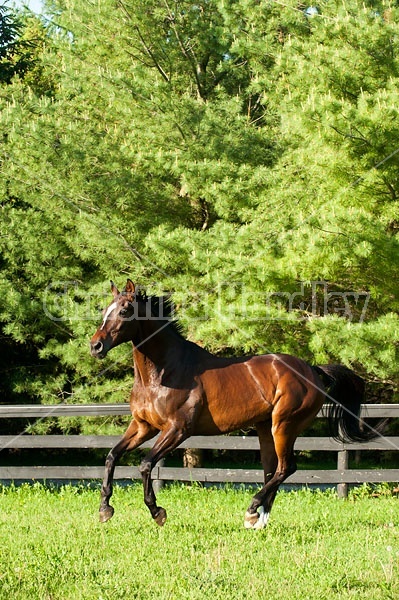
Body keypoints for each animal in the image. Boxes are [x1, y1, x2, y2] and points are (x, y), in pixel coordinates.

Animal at [90, 278, 382, 528]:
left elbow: (145, 465)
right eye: (105, 309)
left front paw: (157, 512)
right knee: (272, 471)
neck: (162, 373)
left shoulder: (177, 430)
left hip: (284, 426)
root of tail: (312, 369)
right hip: (265, 428)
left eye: (125, 310)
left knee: (286, 468)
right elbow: (112, 456)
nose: (95, 346)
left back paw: (252, 509)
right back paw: (257, 520)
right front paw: (105, 509)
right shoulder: (143, 426)